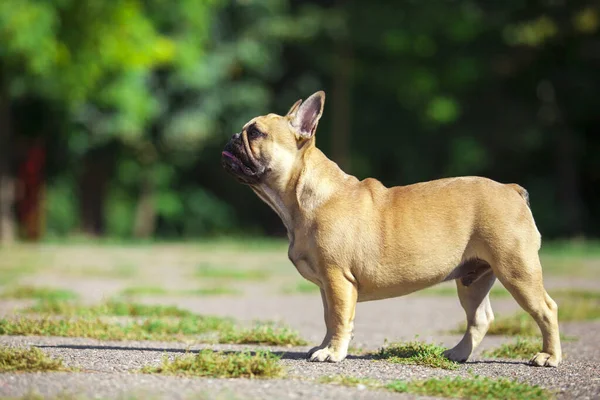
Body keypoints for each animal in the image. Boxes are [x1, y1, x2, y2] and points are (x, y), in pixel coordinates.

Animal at [221, 92, 564, 368]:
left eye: (256, 132)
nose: (232, 137)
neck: (300, 197)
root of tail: (511, 189)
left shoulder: (337, 279)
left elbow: (339, 317)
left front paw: (332, 353)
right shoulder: (328, 285)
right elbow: (329, 317)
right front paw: (324, 346)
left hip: (516, 269)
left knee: (546, 309)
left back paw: (549, 357)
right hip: (473, 278)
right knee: (479, 318)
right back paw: (457, 354)